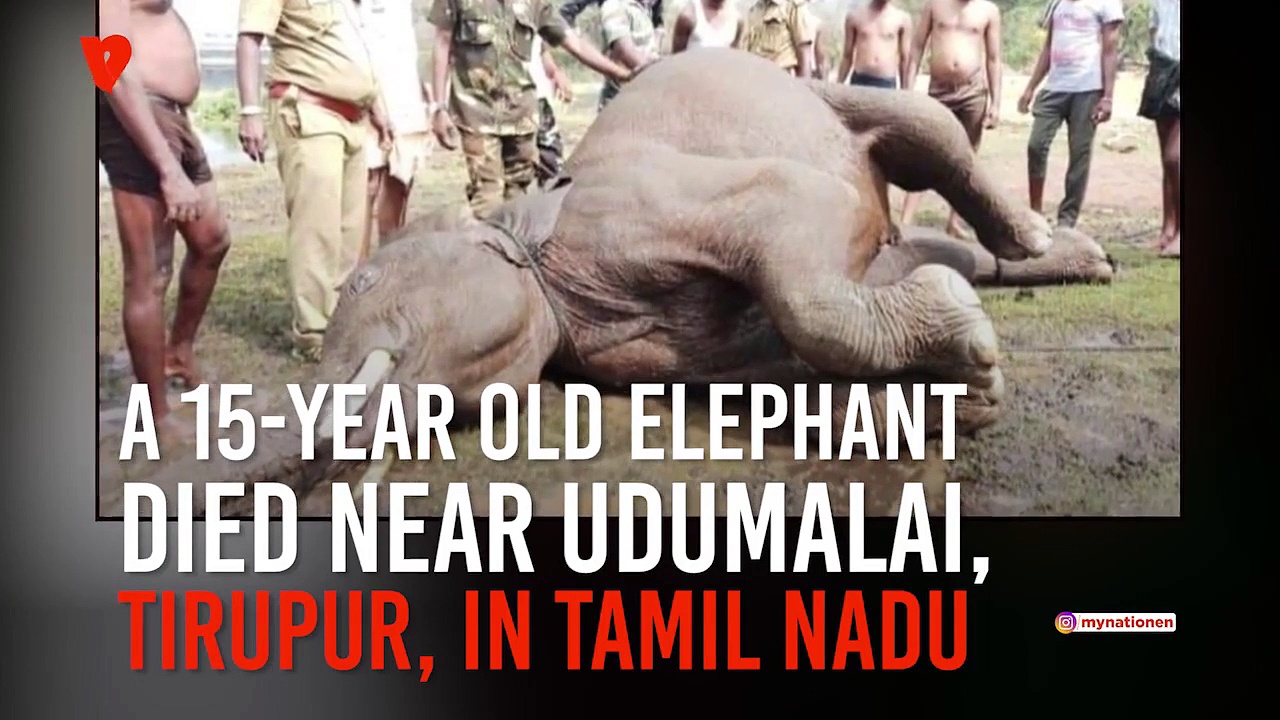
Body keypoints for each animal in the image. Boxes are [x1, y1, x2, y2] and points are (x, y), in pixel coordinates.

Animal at [132, 48, 1122, 516]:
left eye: (364, 277)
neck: (521, 228)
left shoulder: (633, 207)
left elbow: (802, 235)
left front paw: (976, 360)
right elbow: (773, 362)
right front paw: (950, 386)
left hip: (831, 90)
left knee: (925, 134)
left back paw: (1048, 242)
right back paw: (1073, 260)